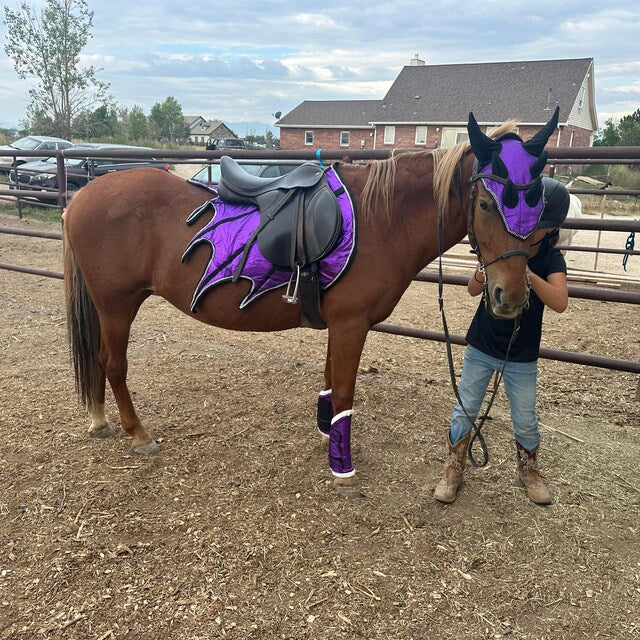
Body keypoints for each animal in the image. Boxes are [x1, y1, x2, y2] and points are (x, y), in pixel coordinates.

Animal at [63, 108, 559, 494]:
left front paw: (326, 436)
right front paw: (343, 467)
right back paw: (137, 433)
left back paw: (99, 420)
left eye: (537, 206)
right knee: (112, 363)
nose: (511, 297)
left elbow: (329, 382)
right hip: (116, 305)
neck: (383, 219)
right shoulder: (352, 324)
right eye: (487, 205)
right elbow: (345, 390)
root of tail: (82, 194)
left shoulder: (339, 323)